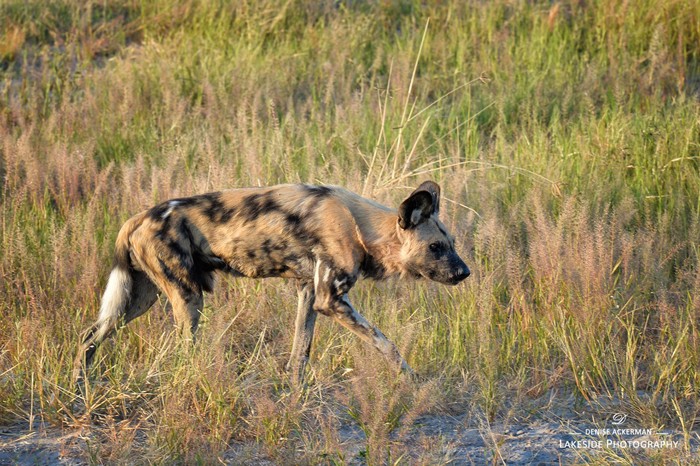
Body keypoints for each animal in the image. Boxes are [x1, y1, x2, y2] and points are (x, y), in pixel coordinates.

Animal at [75, 180, 470, 380]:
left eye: (452, 244)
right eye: (435, 247)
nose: (464, 272)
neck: (361, 227)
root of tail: (137, 218)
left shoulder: (310, 294)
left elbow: (300, 353)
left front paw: (293, 394)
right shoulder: (331, 300)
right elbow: (386, 343)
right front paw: (411, 380)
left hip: (140, 299)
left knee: (89, 337)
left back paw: (81, 385)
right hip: (187, 300)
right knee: (182, 351)